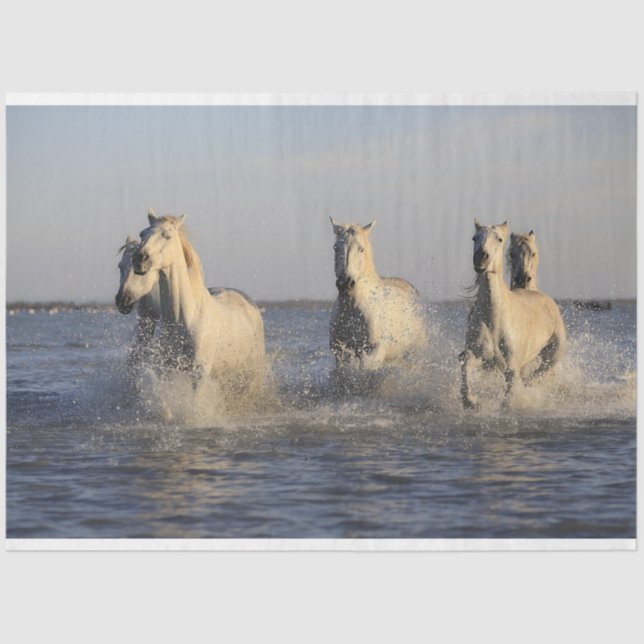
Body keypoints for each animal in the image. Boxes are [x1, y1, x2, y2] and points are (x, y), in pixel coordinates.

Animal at [124, 211, 266, 393]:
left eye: (167, 235)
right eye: (142, 234)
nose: (139, 258)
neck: (182, 318)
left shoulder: (199, 374)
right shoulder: (166, 371)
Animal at [329, 218, 427, 388]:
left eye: (361, 249)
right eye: (336, 247)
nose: (345, 283)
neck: (353, 310)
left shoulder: (372, 352)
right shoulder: (341, 352)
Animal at [459, 220, 566, 409]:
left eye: (499, 239)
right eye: (474, 238)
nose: (480, 258)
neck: (494, 318)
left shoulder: (511, 367)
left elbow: (509, 397)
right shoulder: (477, 355)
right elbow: (466, 366)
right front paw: (471, 400)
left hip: (553, 356)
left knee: (538, 373)